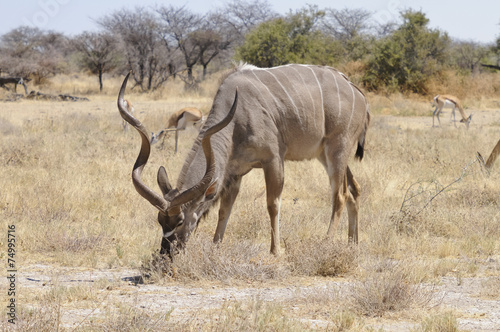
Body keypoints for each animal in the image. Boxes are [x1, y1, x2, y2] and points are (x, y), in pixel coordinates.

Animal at [118, 64, 372, 256]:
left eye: (180, 221)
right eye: (160, 221)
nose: (166, 253)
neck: (236, 117)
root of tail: (359, 94)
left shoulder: (273, 160)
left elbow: (272, 204)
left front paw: (275, 251)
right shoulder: (235, 173)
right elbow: (224, 209)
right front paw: (215, 246)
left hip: (336, 149)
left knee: (340, 195)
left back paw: (326, 243)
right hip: (326, 155)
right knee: (355, 189)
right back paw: (353, 244)